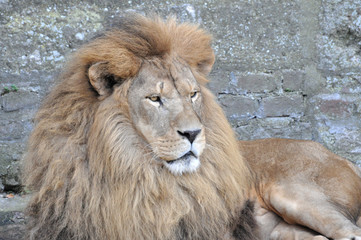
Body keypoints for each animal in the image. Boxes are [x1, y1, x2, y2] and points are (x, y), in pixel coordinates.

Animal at [23, 14, 360, 239]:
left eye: (193, 94)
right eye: (155, 98)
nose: (193, 133)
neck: (139, 174)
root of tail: (343, 159)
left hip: (294, 192)